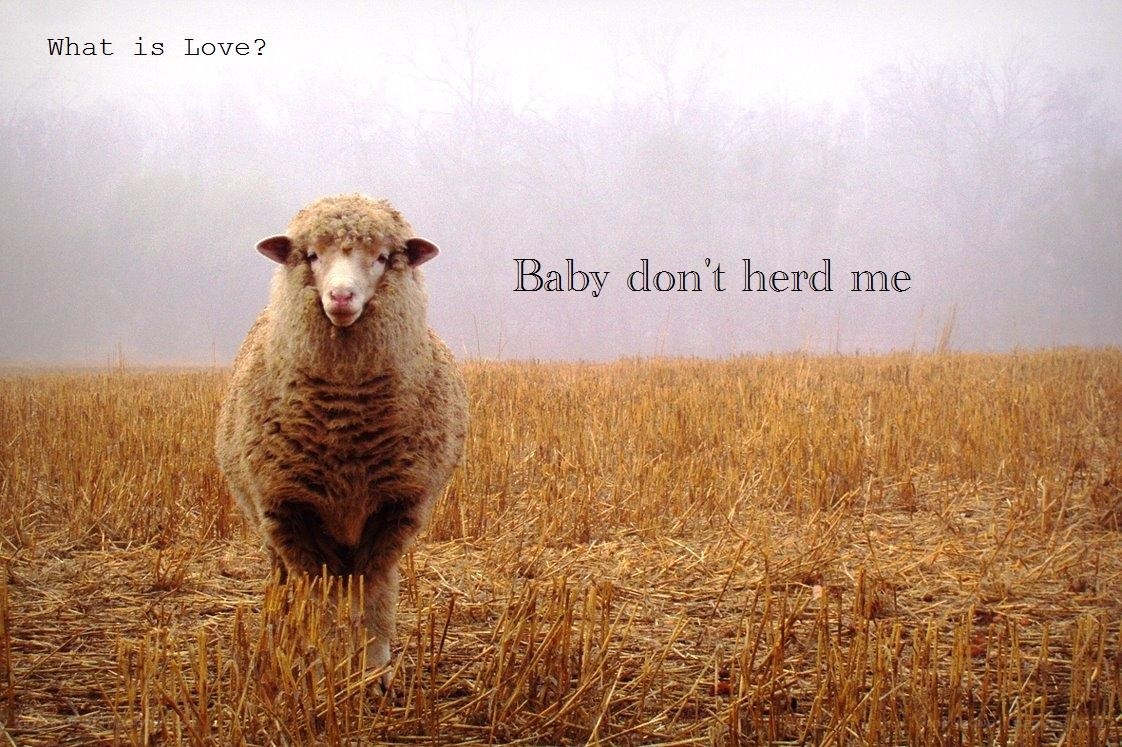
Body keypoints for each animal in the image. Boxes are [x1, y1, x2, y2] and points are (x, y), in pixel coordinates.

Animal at [215, 194, 468, 681]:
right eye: (312, 255)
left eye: (384, 257)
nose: (341, 297)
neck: (346, 427)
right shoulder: (288, 512)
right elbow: (320, 599)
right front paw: (325, 664)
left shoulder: (396, 510)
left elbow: (375, 591)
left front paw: (373, 668)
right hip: (266, 521)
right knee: (285, 582)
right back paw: (279, 636)